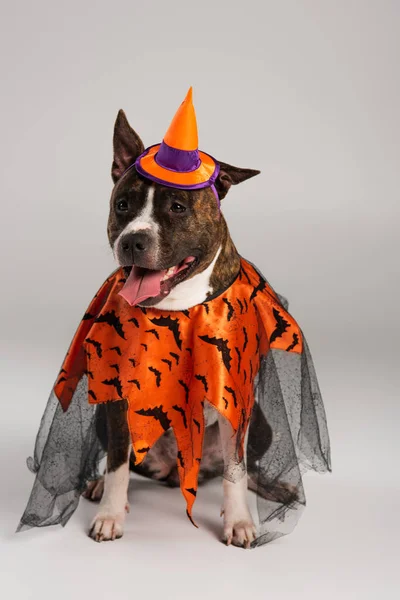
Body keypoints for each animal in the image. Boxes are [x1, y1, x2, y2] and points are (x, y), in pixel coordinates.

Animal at [82, 109, 266, 548]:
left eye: (179, 207)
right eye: (122, 205)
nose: (133, 241)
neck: (177, 309)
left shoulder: (236, 399)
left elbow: (235, 472)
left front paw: (239, 521)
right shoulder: (119, 401)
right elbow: (117, 464)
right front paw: (110, 515)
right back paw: (98, 487)